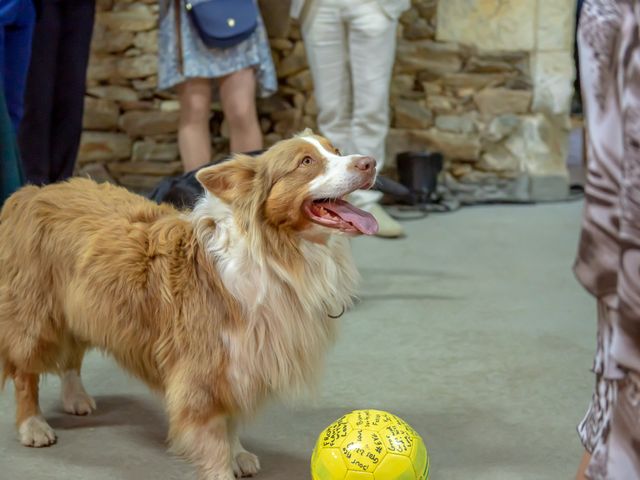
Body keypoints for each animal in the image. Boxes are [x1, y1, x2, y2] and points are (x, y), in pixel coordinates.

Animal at [0, 131, 378, 480]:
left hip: (80, 306)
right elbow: (212, 436)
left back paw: (76, 398)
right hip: (34, 316)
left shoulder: (241, 361)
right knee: (25, 374)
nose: (369, 162)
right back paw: (33, 425)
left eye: (336, 150)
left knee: (72, 355)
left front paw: (237, 454)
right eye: (306, 162)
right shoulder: (203, 368)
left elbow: (231, 422)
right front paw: (222, 468)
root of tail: (33, 192)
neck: (275, 253)